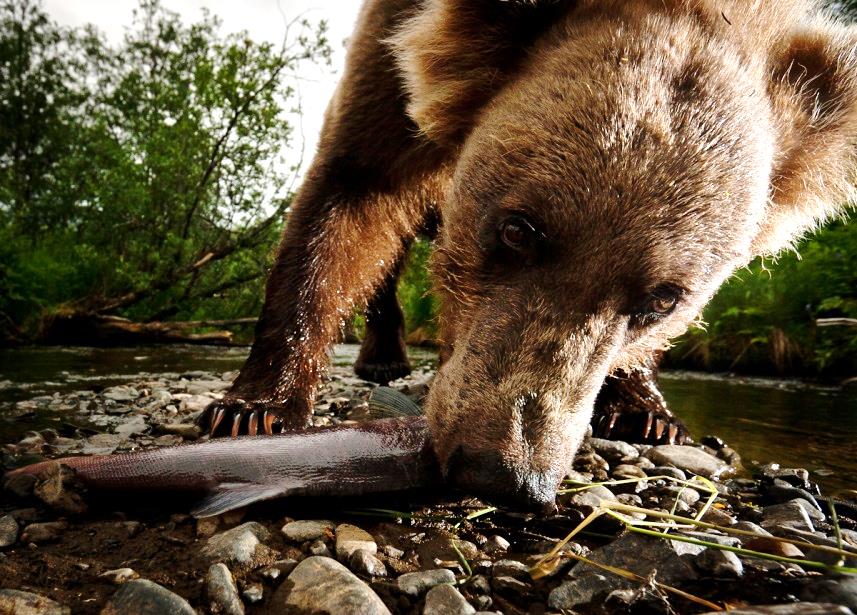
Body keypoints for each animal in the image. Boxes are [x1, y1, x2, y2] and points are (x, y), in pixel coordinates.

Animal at [201, 0, 857, 509]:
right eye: (519, 229)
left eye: (665, 298)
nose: (503, 471)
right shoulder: (387, 59)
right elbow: (348, 197)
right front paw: (255, 407)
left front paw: (647, 409)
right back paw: (383, 356)